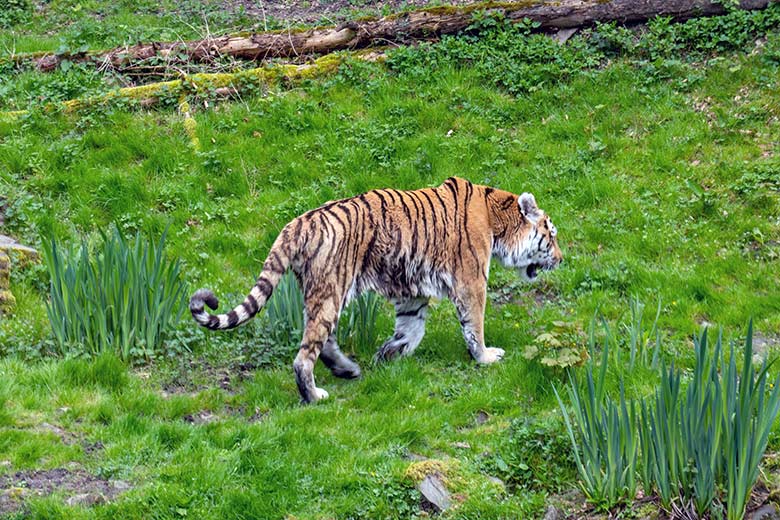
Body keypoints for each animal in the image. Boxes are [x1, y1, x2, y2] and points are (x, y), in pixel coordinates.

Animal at [192, 177, 564, 404]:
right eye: (552, 234)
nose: (561, 258)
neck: (497, 220)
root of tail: (297, 222)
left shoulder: (412, 290)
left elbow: (412, 327)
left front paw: (390, 353)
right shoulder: (470, 281)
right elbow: (475, 325)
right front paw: (486, 357)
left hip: (324, 293)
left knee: (323, 340)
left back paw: (348, 369)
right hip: (331, 289)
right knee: (305, 355)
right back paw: (314, 395)